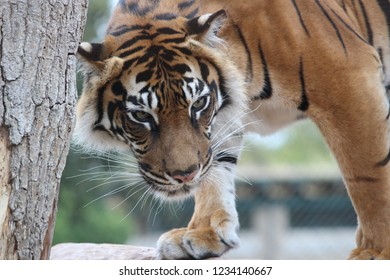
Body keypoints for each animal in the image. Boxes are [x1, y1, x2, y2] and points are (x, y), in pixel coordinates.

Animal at [74, 0, 390, 260]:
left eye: (198, 103)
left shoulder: (348, 78)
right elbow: (215, 169)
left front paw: (374, 253)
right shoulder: (223, 116)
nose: (184, 176)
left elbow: (368, 177)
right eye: (141, 115)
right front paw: (202, 233)